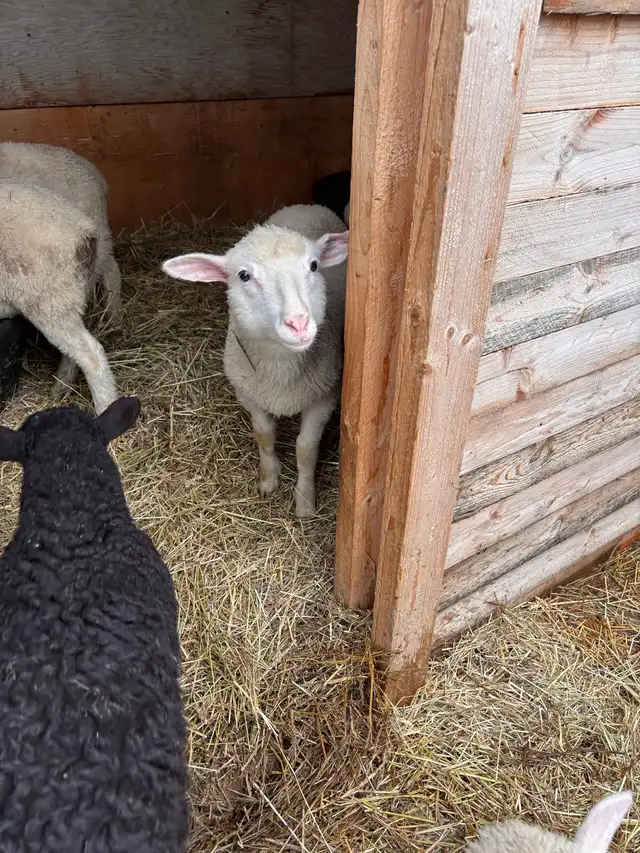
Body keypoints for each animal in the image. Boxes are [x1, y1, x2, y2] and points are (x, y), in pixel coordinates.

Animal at [0, 180, 119, 414]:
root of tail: (84, 230)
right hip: (67, 297)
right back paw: (61, 389)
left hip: (49, 299)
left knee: (92, 355)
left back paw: (107, 408)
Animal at [162, 204, 349, 517]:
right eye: (244, 276)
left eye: (313, 266)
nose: (298, 324)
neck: (280, 371)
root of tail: (304, 206)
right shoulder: (248, 394)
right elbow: (264, 435)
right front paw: (269, 480)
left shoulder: (324, 397)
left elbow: (305, 448)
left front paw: (304, 501)